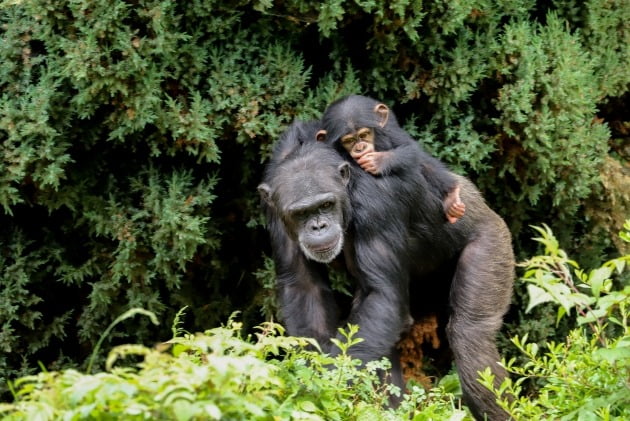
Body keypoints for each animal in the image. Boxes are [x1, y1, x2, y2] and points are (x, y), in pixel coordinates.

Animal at [260, 116, 516, 418]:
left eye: (325, 204)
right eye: (301, 213)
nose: (318, 226)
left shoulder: (375, 206)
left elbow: (382, 295)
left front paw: (324, 384)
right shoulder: (276, 211)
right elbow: (304, 286)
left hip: (491, 244)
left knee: (470, 336)